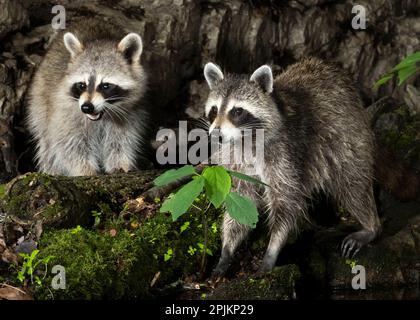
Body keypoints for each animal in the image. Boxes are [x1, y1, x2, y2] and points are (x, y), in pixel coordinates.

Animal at [26, 20, 149, 176]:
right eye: (81, 85)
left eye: (105, 85)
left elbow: (121, 140)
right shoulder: (65, 113)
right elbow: (69, 144)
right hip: (40, 100)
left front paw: (120, 163)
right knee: (47, 141)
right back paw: (52, 169)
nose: (86, 107)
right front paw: (85, 170)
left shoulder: (130, 114)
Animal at [202, 58, 382, 276]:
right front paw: (227, 249)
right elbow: (240, 199)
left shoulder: (286, 154)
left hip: (349, 139)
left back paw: (371, 225)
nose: (216, 134)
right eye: (214, 110)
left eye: (237, 111)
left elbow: (286, 200)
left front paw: (272, 250)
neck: (246, 140)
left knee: (352, 183)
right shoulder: (235, 158)